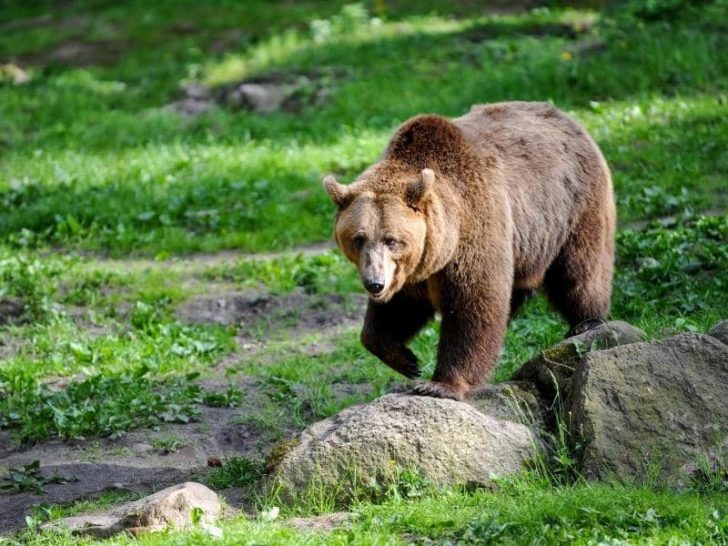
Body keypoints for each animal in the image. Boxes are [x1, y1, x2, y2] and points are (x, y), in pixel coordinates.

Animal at [323, 101, 615, 400]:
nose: (374, 284)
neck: (442, 245)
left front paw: (439, 384)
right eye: (358, 239)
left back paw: (587, 321)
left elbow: (473, 305)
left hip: (572, 208)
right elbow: (397, 310)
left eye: (391, 239)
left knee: (578, 271)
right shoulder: (411, 270)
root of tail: (566, 117)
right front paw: (406, 360)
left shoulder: (474, 227)